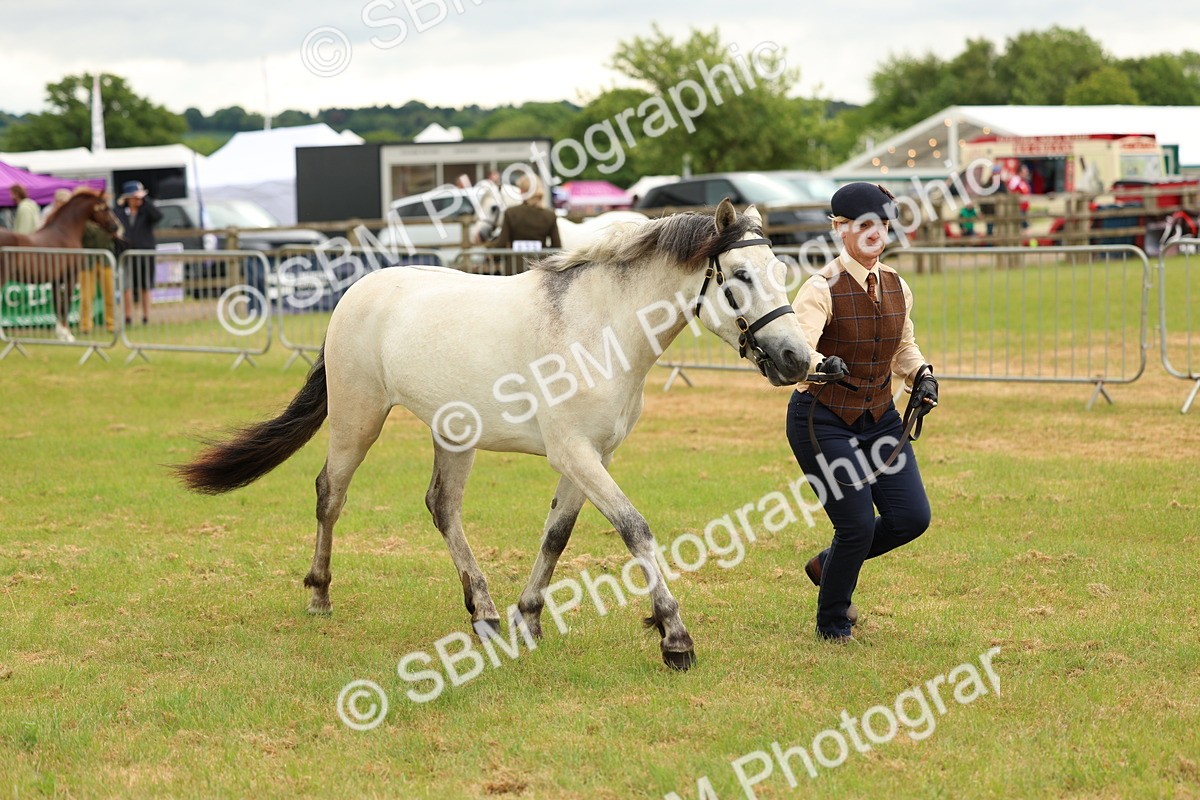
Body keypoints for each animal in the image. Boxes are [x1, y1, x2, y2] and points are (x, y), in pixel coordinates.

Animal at [0, 189, 121, 341]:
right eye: (105, 208)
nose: (115, 226)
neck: (64, 232)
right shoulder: (70, 277)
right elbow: (66, 305)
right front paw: (67, 335)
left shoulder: (56, 280)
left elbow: (57, 305)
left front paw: (60, 334)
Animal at [176, 199, 812, 670]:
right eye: (741, 276)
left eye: (782, 272)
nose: (797, 359)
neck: (597, 327)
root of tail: (356, 291)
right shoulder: (576, 453)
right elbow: (635, 528)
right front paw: (675, 637)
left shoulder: (591, 456)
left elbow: (556, 535)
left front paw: (528, 618)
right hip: (358, 420)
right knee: (330, 494)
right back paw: (319, 593)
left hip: (453, 435)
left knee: (442, 507)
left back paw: (482, 614)